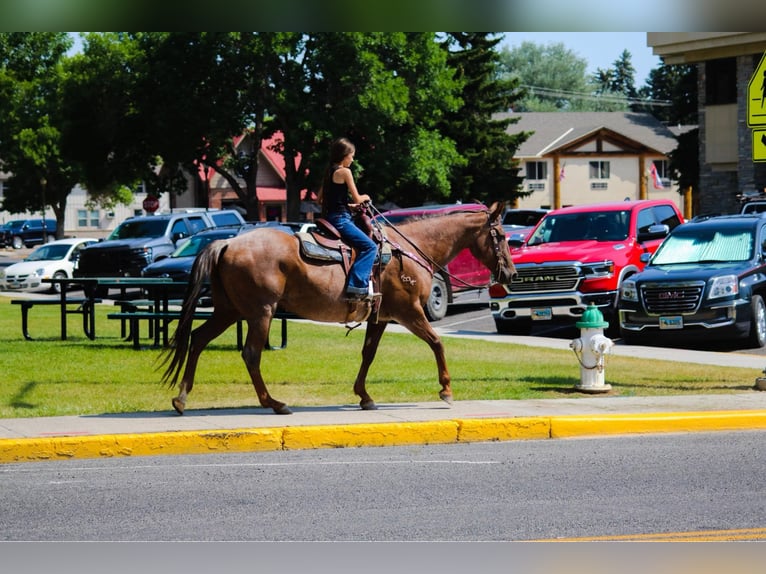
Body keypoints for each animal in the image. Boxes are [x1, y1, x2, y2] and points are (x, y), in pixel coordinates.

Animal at [163, 201, 520, 414]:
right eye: (502, 236)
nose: (511, 273)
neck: (409, 249)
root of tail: (227, 242)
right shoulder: (409, 312)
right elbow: (437, 342)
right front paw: (446, 389)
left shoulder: (381, 317)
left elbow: (368, 353)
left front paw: (364, 396)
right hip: (260, 312)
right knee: (250, 354)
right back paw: (274, 403)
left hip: (229, 310)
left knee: (198, 339)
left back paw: (181, 398)